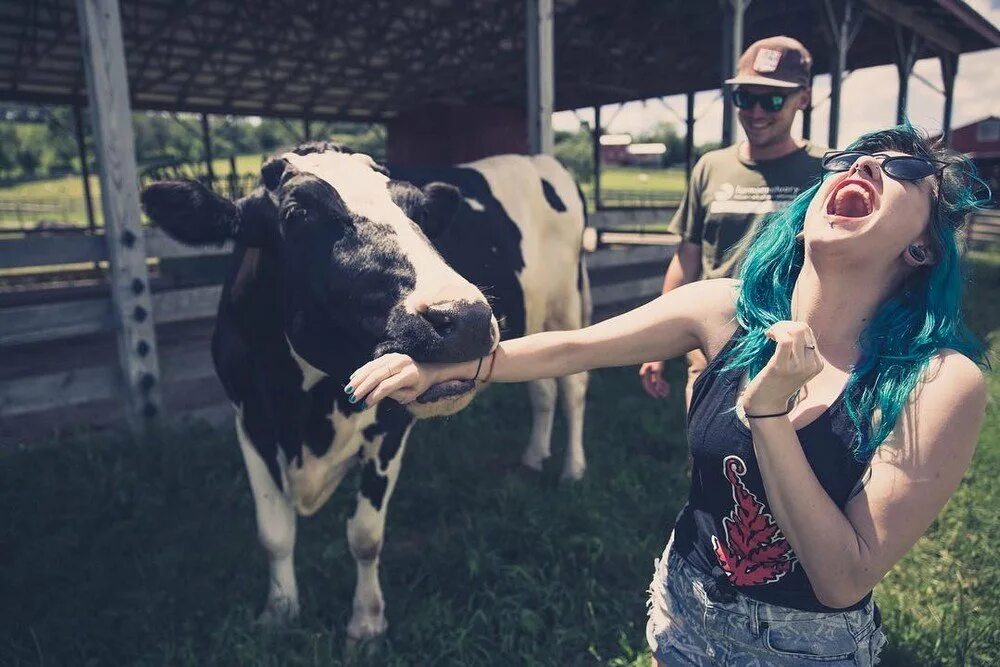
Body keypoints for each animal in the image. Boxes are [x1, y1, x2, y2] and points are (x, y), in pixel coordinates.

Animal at [145, 144, 588, 644]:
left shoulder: (389, 425)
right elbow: (274, 533)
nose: (468, 319)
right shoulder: (250, 417)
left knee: (572, 387)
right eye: (298, 214)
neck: (306, 410)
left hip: (567, 304)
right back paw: (533, 457)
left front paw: (366, 622)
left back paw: (572, 469)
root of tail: (536, 158)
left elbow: (364, 535)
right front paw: (279, 612)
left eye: (419, 211)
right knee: (543, 391)